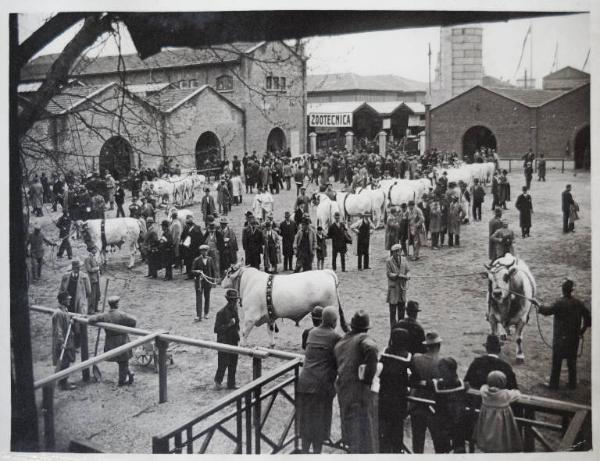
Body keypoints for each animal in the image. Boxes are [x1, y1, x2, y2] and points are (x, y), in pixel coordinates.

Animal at [221, 262, 350, 344]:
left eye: (228, 274)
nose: (221, 283)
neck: (249, 282)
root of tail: (326, 272)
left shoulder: (250, 317)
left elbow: (244, 334)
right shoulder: (270, 317)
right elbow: (271, 334)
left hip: (330, 308)